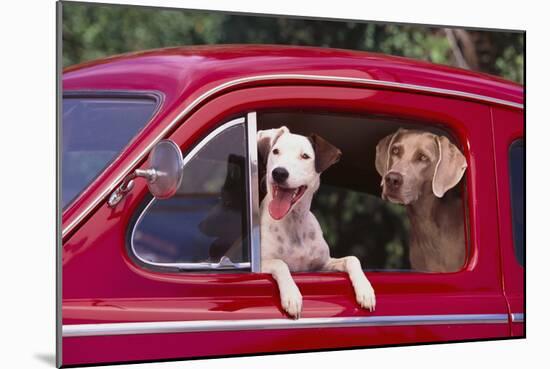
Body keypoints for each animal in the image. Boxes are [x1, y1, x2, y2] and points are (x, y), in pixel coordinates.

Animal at [258, 126, 378, 316]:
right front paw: (291, 295)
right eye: (275, 151)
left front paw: (365, 290)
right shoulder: (261, 265)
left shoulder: (321, 265)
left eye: (305, 156)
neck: (294, 222)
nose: (279, 172)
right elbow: (280, 263)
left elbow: (352, 258)